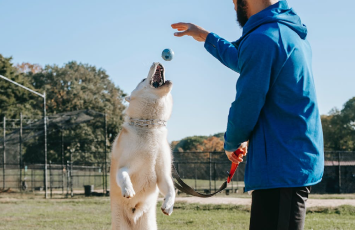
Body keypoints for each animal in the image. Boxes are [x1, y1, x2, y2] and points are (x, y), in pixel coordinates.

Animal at [109, 62, 175, 229]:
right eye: (143, 79)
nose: (157, 62)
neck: (149, 127)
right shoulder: (124, 166)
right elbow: (123, 175)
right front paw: (128, 189)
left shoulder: (163, 174)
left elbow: (171, 189)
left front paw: (168, 206)